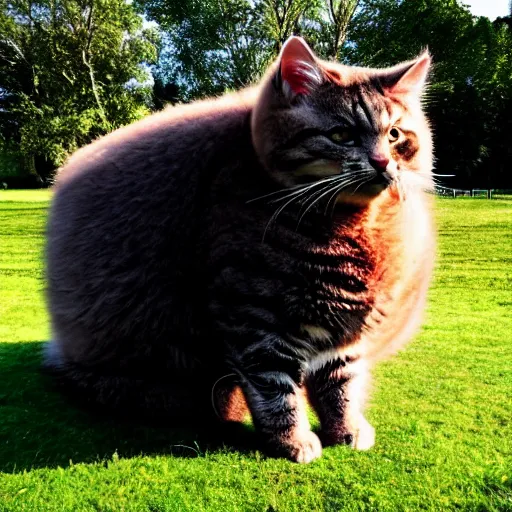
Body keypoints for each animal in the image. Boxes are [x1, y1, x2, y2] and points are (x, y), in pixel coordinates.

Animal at [45, 38, 436, 464]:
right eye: (341, 134)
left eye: (395, 135)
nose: (382, 161)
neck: (348, 224)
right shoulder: (254, 317)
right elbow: (274, 388)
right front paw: (291, 441)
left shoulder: (342, 330)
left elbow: (340, 384)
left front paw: (345, 429)